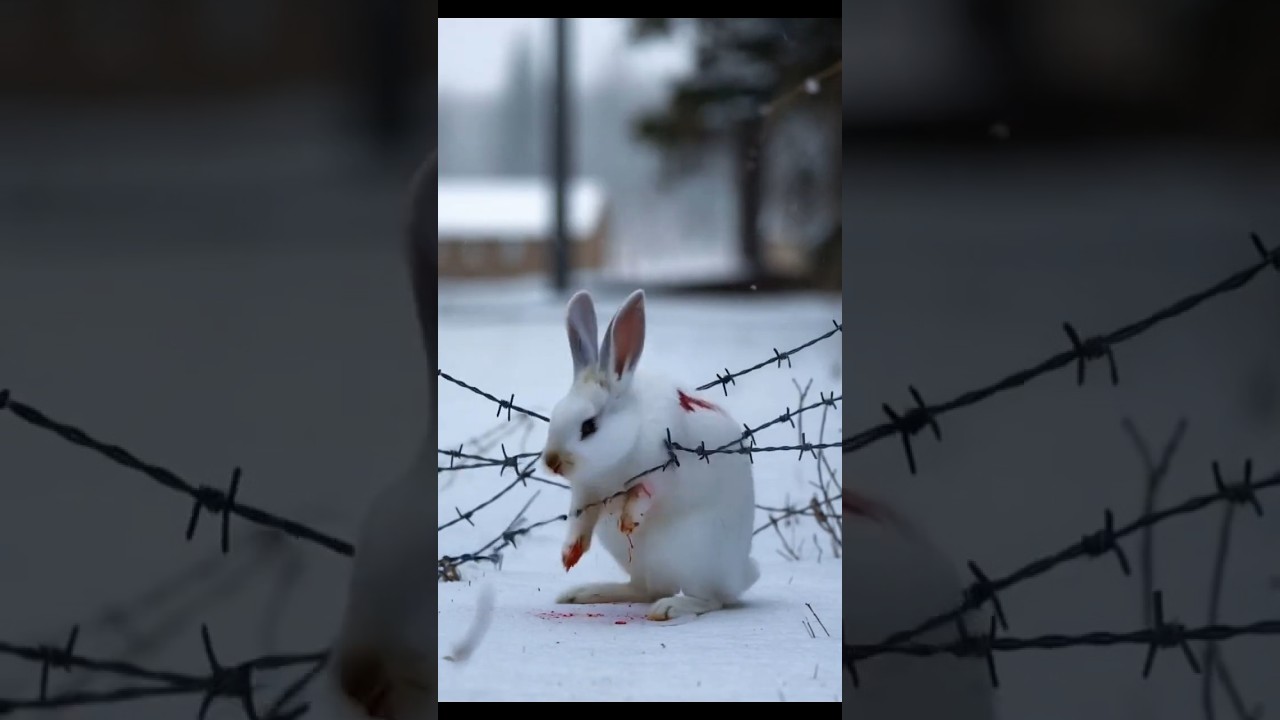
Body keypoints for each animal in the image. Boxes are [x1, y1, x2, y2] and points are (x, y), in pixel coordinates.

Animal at [541, 288, 760, 622]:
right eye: (554, 415)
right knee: (645, 589)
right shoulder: (586, 492)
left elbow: (645, 493)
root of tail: (740, 574)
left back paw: (671, 608)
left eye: (589, 426)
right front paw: (570, 553)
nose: (552, 463)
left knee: (710, 599)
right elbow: (580, 518)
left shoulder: (663, 473)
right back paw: (585, 592)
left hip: (695, 555)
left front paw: (630, 518)